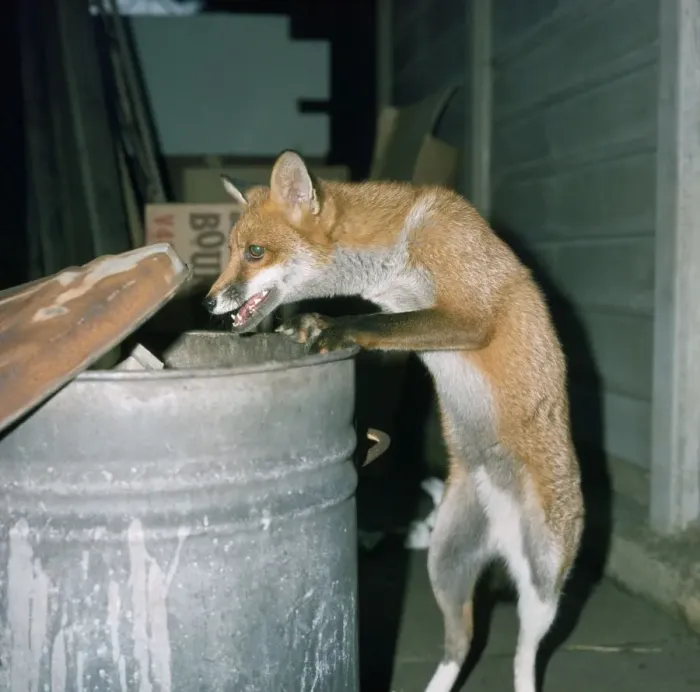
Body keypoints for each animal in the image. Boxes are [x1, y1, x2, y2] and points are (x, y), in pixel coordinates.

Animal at [203, 150, 584, 692]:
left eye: (255, 252)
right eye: (233, 250)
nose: (208, 302)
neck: (398, 248)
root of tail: (499, 539)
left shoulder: (468, 313)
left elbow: (377, 324)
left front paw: (333, 330)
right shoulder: (405, 322)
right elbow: (386, 328)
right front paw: (310, 324)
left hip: (542, 584)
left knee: (524, 656)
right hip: (444, 565)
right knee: (461, 643)